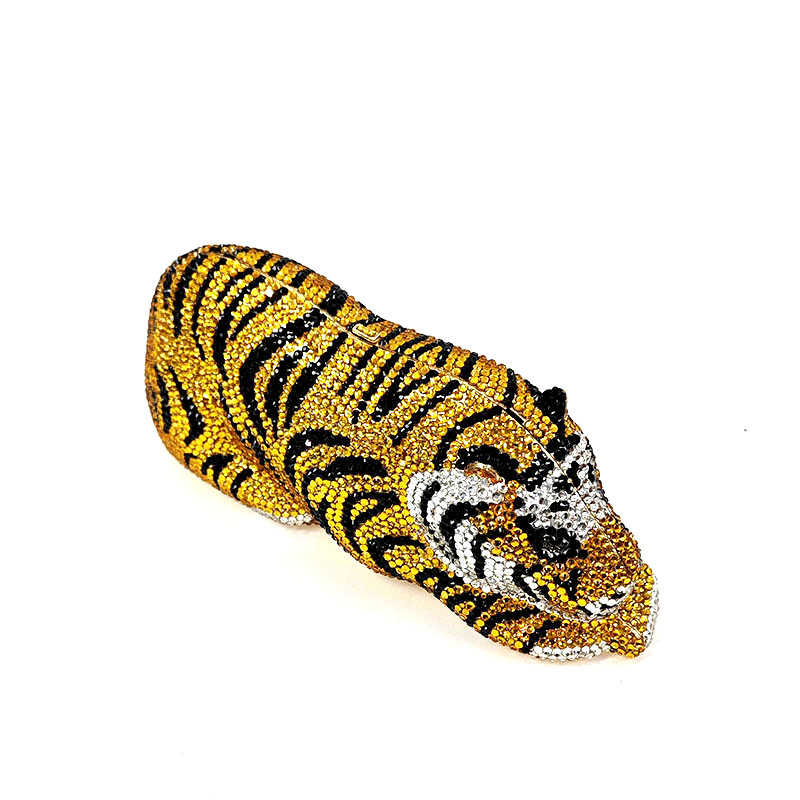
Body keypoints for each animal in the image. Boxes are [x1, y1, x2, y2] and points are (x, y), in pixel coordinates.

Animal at [145, 244, 658, 660]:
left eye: (601, 491)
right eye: (552, 541)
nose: (625, 584)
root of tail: (180, 261)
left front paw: (639, 604)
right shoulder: (373, 521)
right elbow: (490, 600)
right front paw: (610, 629)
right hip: (189, 410)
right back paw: (279, 501)